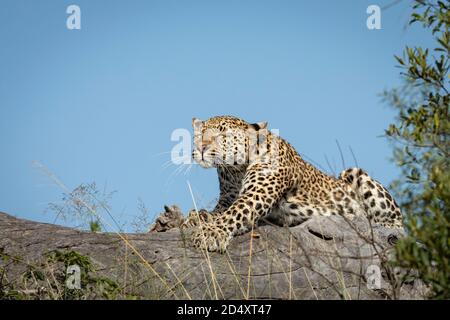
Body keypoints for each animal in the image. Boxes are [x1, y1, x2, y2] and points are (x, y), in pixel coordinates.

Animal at [181, 115, 402, 252]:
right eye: (200, 134)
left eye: (223, 134)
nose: (201, 147)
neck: (235, 169)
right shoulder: (227, 197)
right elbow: (219, 211)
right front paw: (196, 217)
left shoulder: (257, 194)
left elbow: (233, 213)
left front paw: (211, 233)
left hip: (355, 174)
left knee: (395, 225)